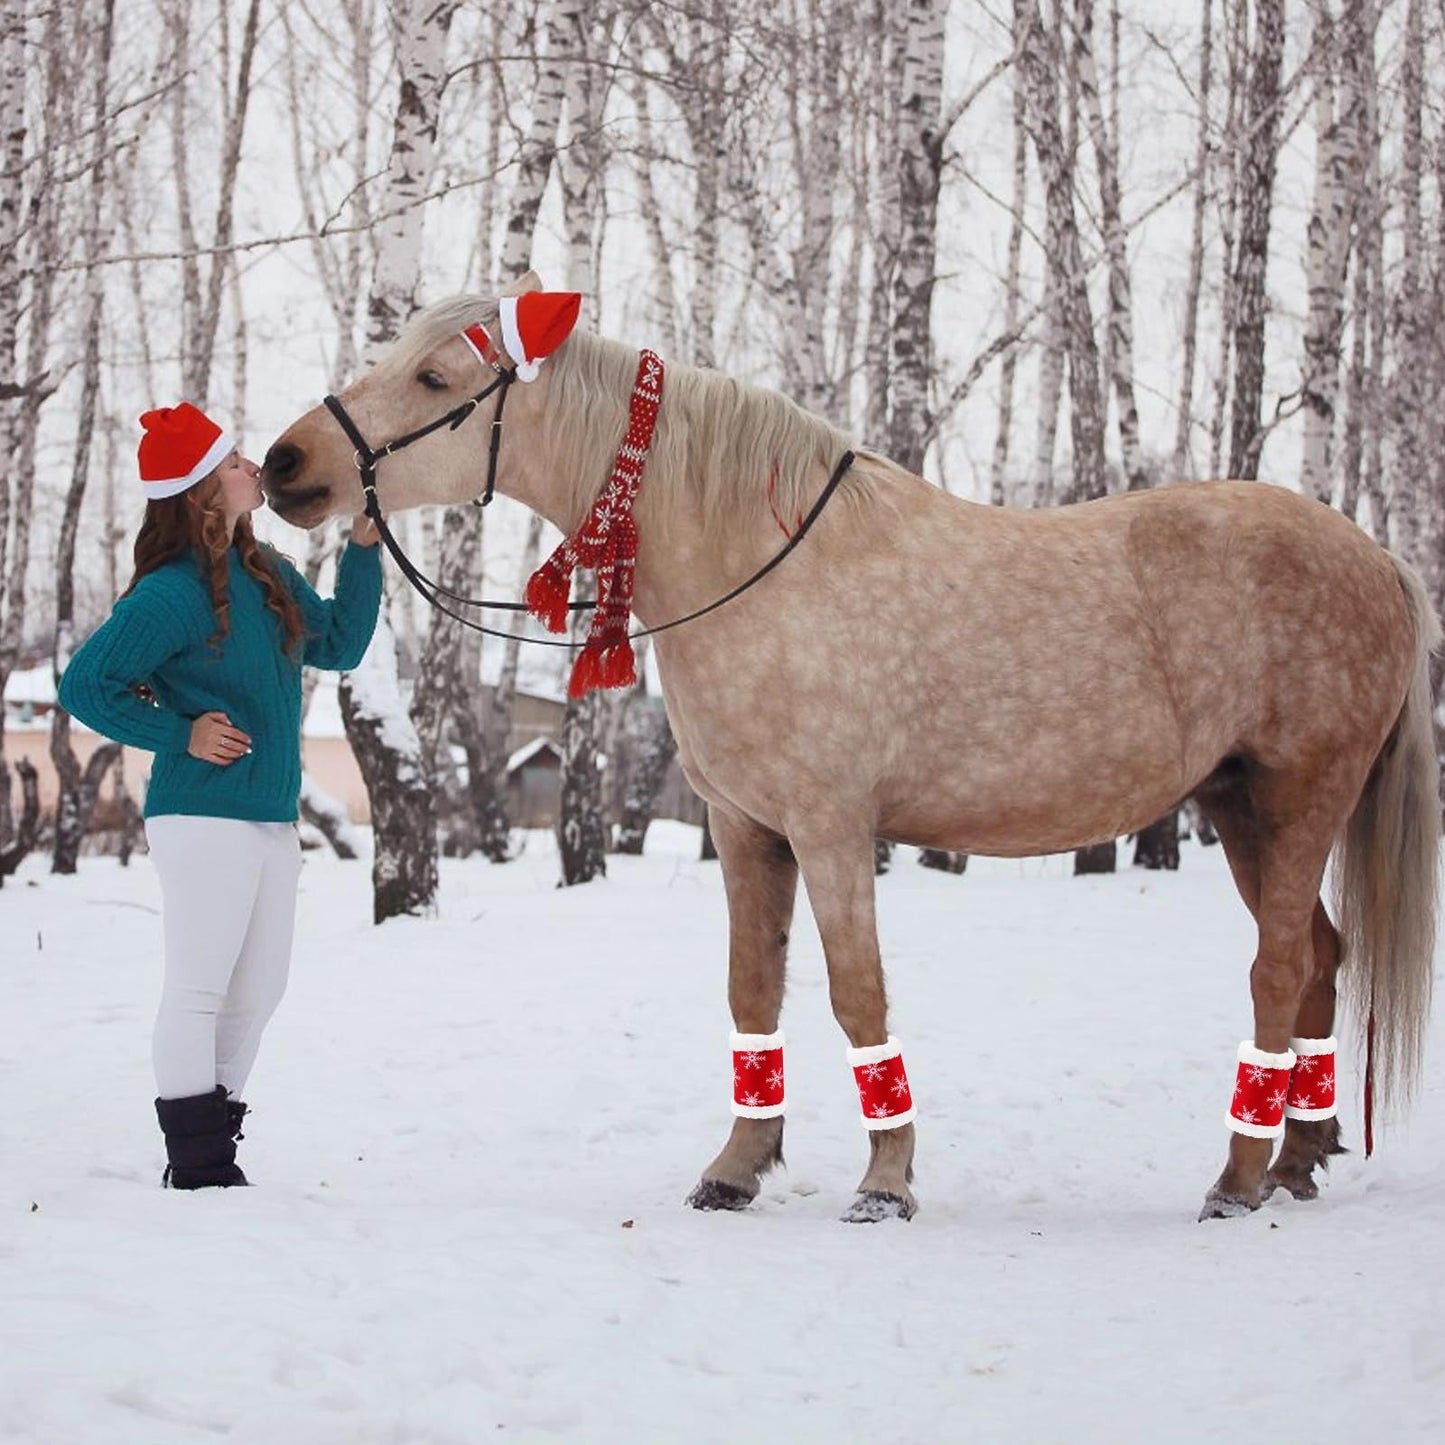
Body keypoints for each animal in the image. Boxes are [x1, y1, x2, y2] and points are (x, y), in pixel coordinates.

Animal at [262, 273, 1440, 1223]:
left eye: (433, 375)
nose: (286, 463)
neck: (756, 559)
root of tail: (1378, 559)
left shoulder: (832, 830)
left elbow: (854, 992)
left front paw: (884, 1182)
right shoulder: (746, 829)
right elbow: (751, 990)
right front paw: (735, 1168)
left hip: (1300, 797)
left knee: (1277, 967)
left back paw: (1235, 1181)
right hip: (1239, 807)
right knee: (1317, 962)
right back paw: (1294, 1160)